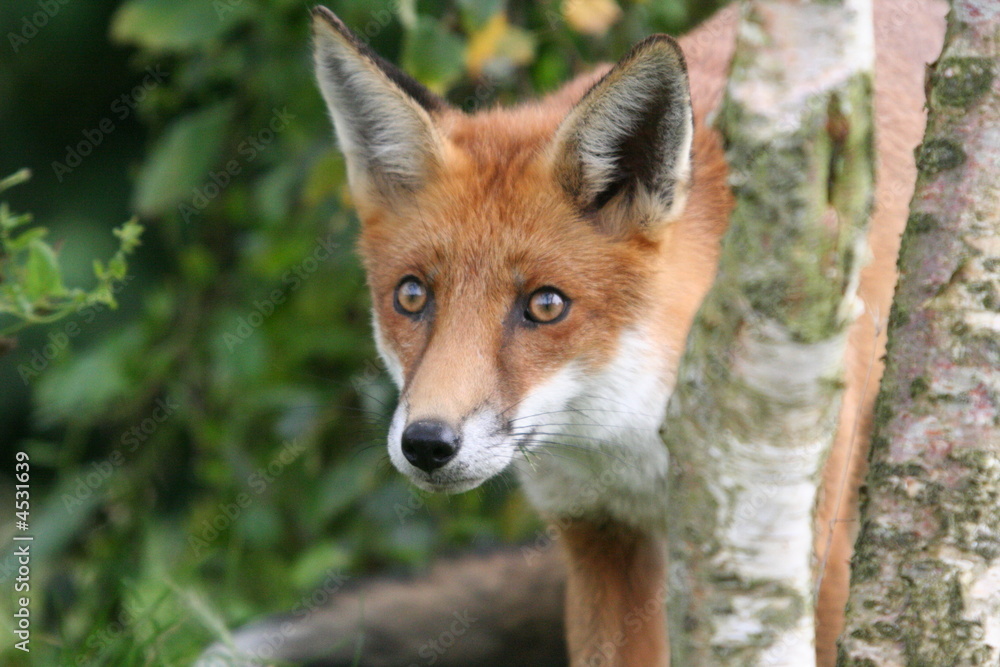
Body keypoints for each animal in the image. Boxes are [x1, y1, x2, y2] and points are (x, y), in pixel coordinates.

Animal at [197, 1, 947, 665]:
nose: (427, 444)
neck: (634, 437)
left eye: (546, 305)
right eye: (411, 296)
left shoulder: (800, 538)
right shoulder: (601, 537)